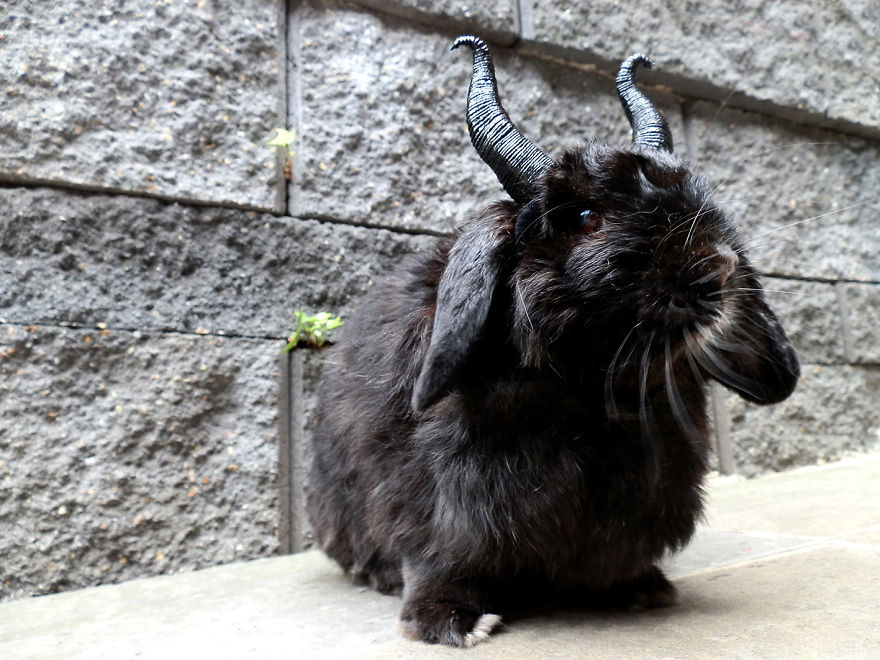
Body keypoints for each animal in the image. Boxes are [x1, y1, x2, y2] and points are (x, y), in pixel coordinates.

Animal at [306, 36, 800, 647]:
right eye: (585, 217)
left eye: (696, 193)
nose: (719, 270)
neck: (594, 389)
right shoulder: (434, 500)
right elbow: (435, 558)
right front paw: (450, 621)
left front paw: (641, 588)